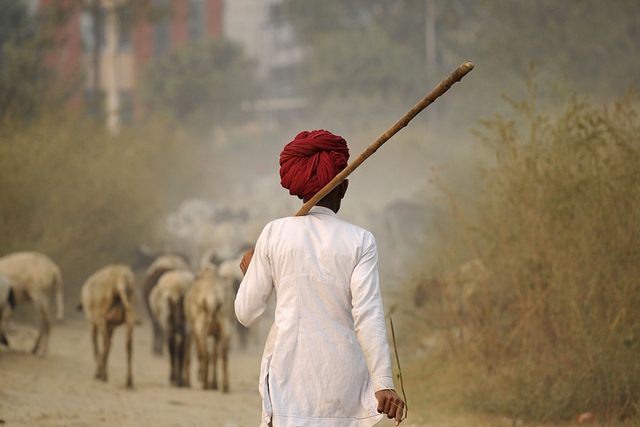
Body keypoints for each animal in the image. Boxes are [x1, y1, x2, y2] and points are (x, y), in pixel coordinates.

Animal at [80, 262, 138, 390]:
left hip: (100, 316)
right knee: (128, 345)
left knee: (106, 343)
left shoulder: (93, 322)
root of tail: (120, 279)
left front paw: (99, 372)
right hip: (128, 315)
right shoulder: (111, 325)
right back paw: (129, 381)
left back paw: (102, 374)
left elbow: (96, 345)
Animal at [182, 262, 232, 392]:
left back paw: (205, 383)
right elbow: (214, 355)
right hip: (225, 323)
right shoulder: (217, 334)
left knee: (204, 353)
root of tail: (213, 296)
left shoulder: (192, 329)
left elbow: (196, 353)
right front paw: (214, 383)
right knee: (223, 354)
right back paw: (224, 386)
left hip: (200, 325)